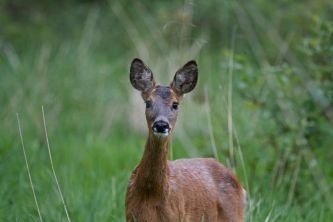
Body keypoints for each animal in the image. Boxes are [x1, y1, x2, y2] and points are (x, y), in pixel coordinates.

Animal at [124, 58, 244, 221]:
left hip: (235, 215)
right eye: (148, 102)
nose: (161, 125)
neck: (151, 193)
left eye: (175, 104)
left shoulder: (176, 217)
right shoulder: (130, 215)